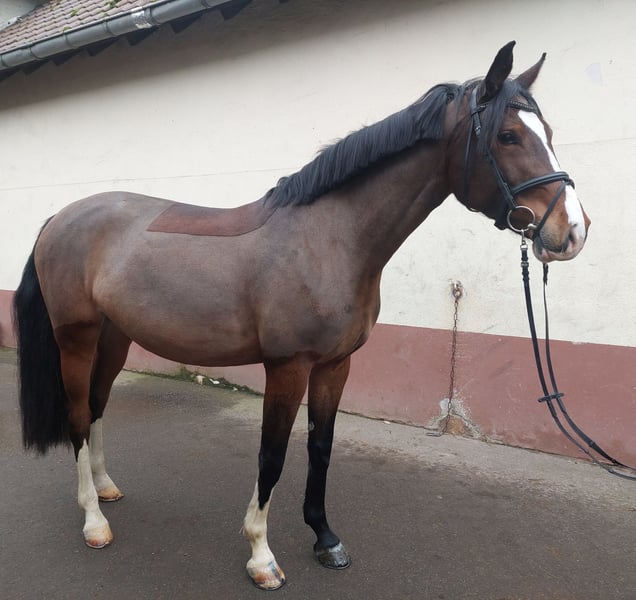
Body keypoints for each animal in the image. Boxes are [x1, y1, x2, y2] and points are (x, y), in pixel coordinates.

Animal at [13, 41, 590, 590]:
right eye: (508, 136)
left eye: (548, 131)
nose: (572, 231)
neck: (331, 238)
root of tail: (60, 217)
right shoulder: (287, 367)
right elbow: (272, 457)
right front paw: (261, 556)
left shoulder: (335, 366)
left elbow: (320, 447)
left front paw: (325, 538)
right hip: (76, 339)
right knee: (78, 415)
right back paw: (94, 521)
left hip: (114, 339)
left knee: (97, 406)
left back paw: (106, 488)